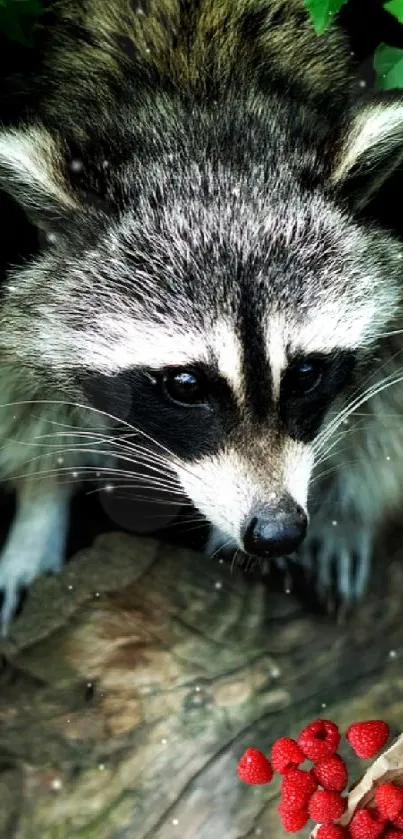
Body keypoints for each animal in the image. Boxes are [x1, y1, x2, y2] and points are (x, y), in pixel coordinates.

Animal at [0, 0, 403, 632]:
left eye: (306, 373)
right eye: (186, 386)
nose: (277, 531)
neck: (199, 103)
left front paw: (348, 513)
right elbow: (20, 380)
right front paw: (41, 503)